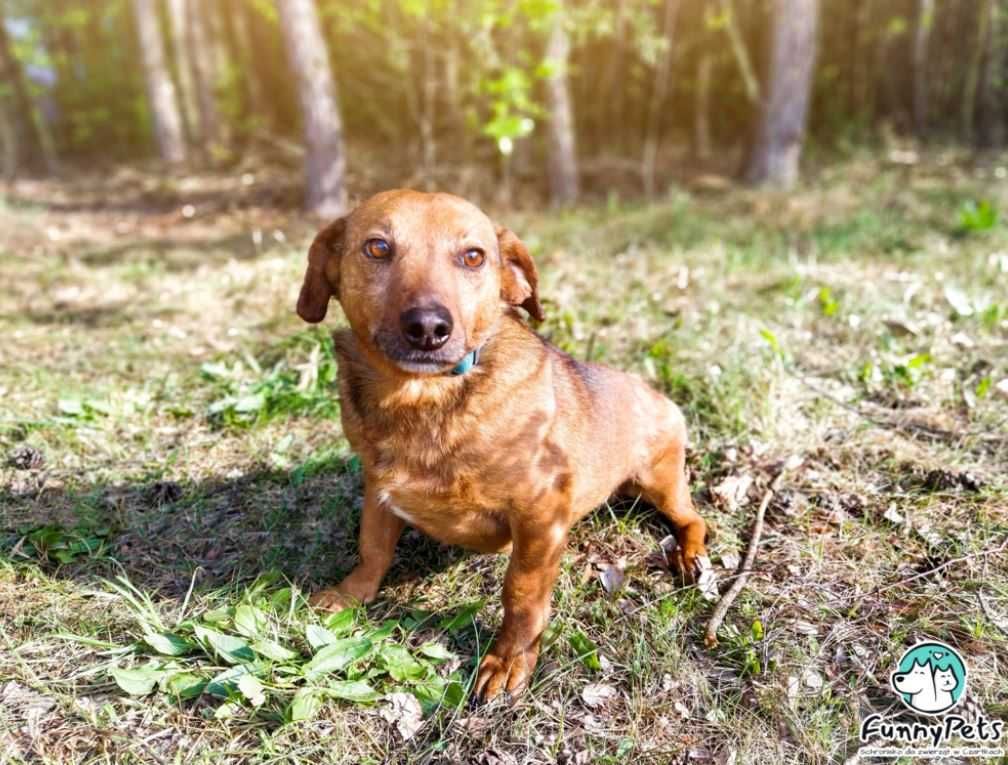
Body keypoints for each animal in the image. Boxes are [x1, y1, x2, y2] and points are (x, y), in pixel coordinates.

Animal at [294, 190, 709, 701]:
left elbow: (522, 593)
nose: (428, 327)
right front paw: (351, 594)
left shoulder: (540, 517)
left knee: (694, 520)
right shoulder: (379, 490)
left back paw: (689, 556)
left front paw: (510, 659)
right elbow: (372, 548)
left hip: (661, 481)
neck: (421, 397)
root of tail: (656, 393)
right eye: (377, 248)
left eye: (473, 257)